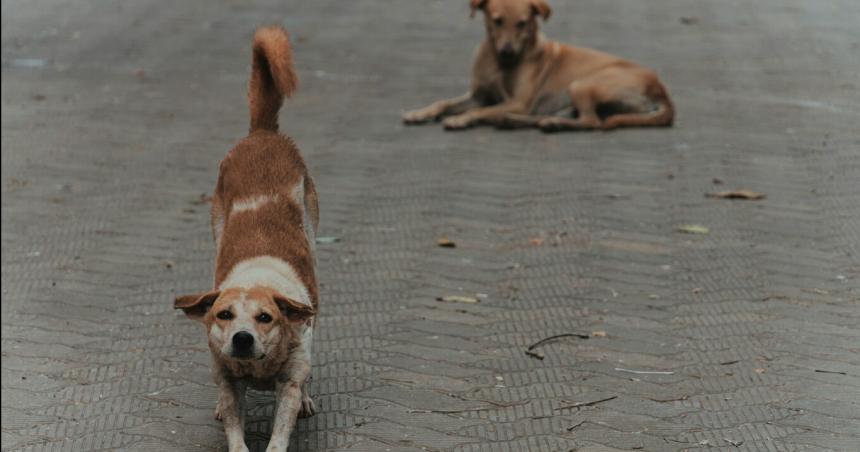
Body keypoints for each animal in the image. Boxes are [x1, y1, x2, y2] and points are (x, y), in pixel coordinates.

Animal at [173, 25, 320, 452]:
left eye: (265, 317)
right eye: (223, 314)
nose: (241, 338)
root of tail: (262, 133)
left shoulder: (289, 379)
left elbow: (282, 424)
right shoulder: (226, 378)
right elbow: (234, 424)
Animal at [406, 0, 676, 132]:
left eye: (522, 23)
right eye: (497, 21)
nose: (507, 52)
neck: (497, 62)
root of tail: (660, 87)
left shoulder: (518, 102)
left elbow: (479, 111)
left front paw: (461, 119)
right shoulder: (479, 95)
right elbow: (444, 102)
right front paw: (418, 113)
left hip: (582, 84)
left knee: (592, 122)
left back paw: (546, 124)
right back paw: (517, 121)